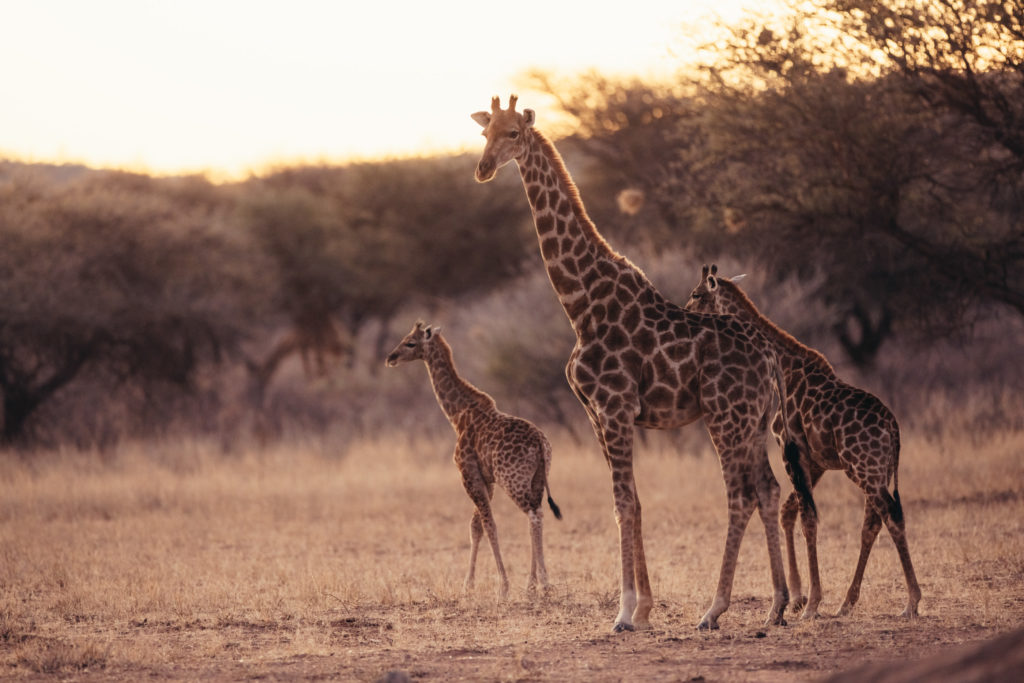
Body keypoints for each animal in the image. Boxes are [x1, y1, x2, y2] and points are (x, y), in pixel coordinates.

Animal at [385, 321, 562, 597]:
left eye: (410, 342)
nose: (390, 358)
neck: (457, 415)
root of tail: (540, 445)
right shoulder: (486, 480)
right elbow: (476, 527)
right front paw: (468, 585)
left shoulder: (468, 475)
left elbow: (488, 526)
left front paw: (502, 586)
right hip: (537, 480)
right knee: (536, 514)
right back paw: (532, 584)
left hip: (513, 480)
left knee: (534, 515)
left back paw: (541, 582)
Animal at [472, 95, 795, 632]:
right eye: (485, 132)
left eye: (514, 132)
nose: (482, 169)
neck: (581, 304)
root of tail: (771, 360)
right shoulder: (596, 415)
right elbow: (634, 503)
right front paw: (643, 609)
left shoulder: (614, 408)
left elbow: (623, 503)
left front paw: (623, 611)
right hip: (754, 423)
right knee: (768, 491)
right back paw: (777, 605)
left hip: (724, 418)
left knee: (741, 496)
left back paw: (714, 609)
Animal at [685, 264, 922, 619]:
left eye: (697, 294)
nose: (685, 313)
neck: (785, 367)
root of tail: (894, 430)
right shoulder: (814, 460)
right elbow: (790, 513)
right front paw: (797, 598)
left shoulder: (790, 448)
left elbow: (807, 518)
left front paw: (810, 604)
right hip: (874, 471)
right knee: (872, 522)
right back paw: (847, 603)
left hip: (863, 468)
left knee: (891, 515)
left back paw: (911, 602)